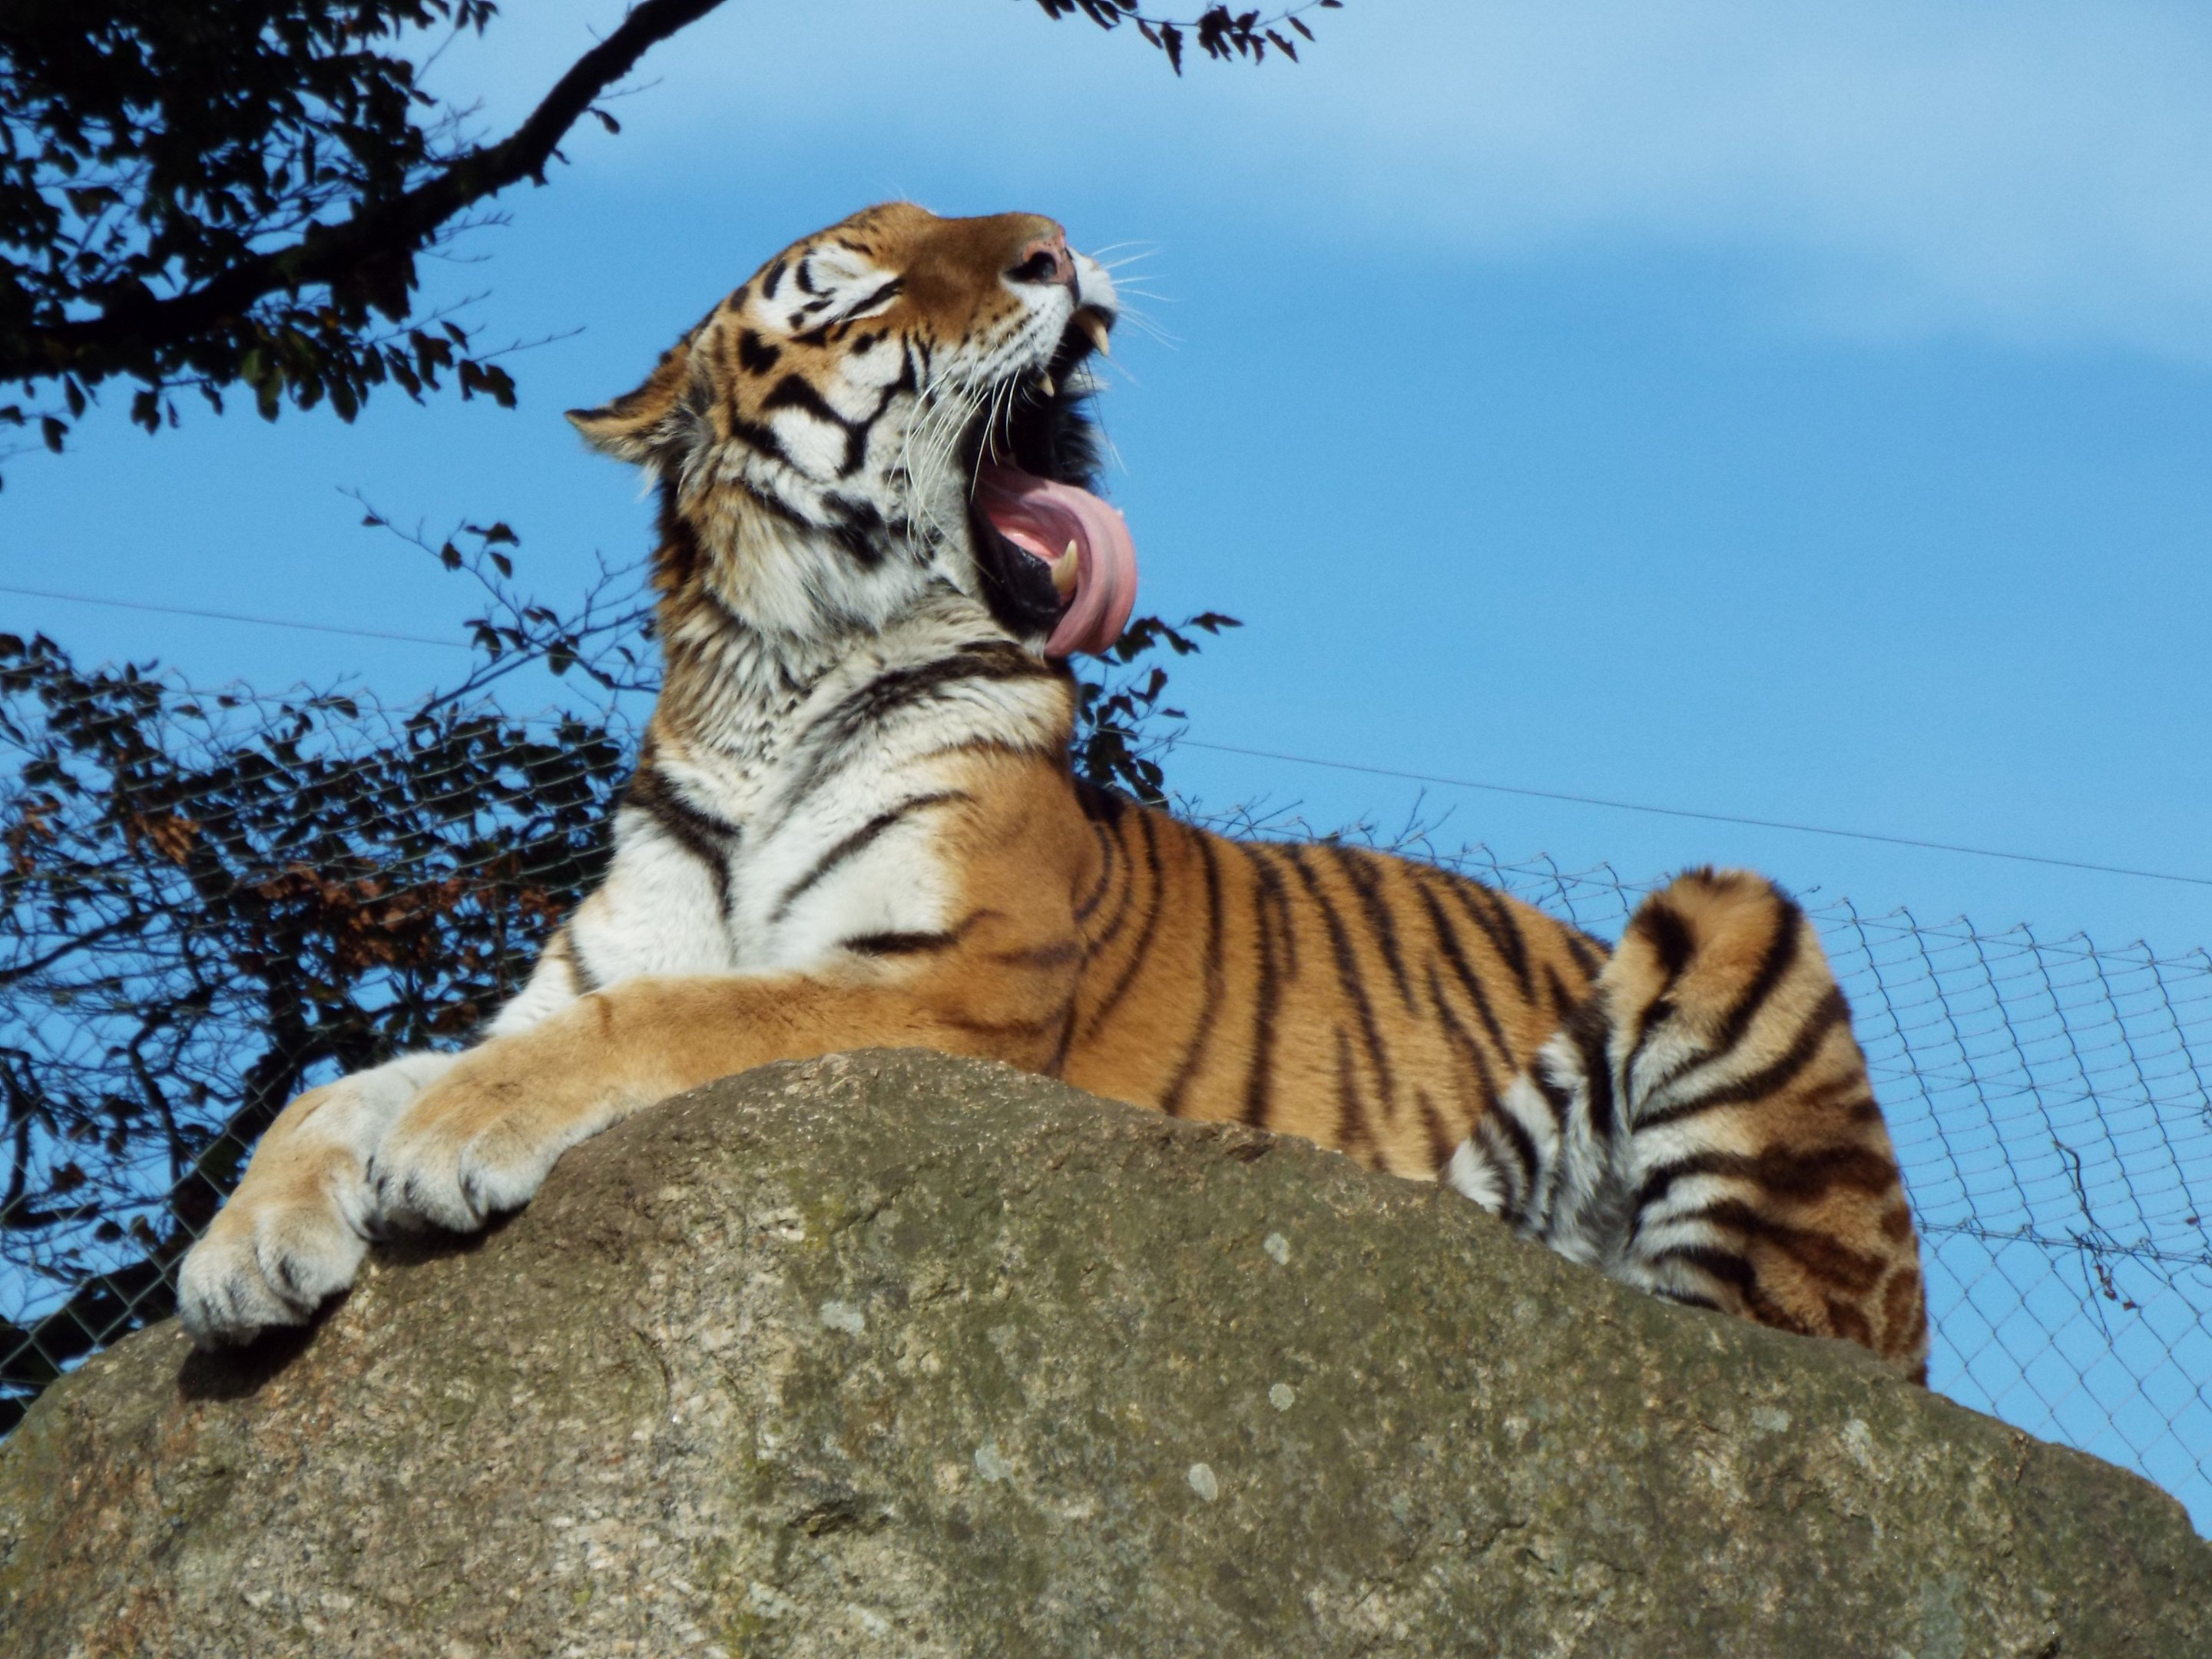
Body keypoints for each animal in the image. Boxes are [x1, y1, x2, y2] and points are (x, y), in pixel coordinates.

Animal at [177, 203, 1928, 1381]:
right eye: (864, 285)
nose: (1057, 247)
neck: (777, 691)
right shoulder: (589, 972)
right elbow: (344, 1081)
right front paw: (244, 1249)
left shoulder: (952, 990)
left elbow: (685, 1019)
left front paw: (457, 1132)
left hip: (1736, 930)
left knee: (1775, 1338)